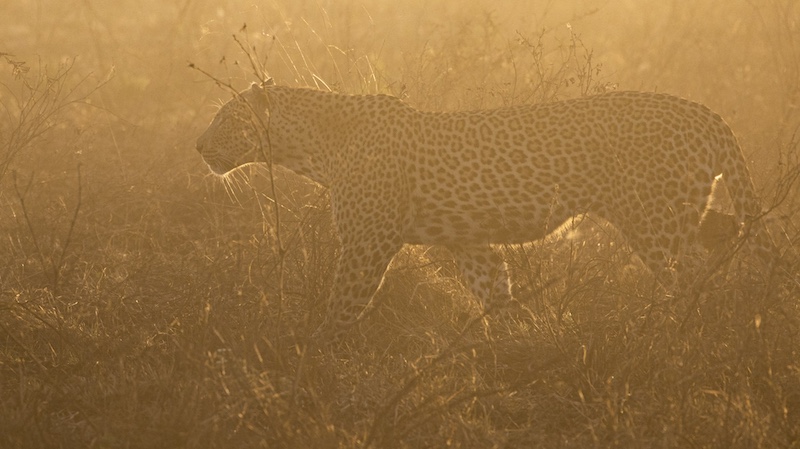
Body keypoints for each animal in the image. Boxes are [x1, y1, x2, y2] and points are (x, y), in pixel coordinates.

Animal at [196, 80, 775, 340]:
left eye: (226, 120)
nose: (199, 147)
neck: (312, 147)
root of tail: (708, 113)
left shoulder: (366, 245)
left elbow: (341, 306)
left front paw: (312, 356)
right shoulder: (469, 240)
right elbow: (495, 292)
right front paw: (518, 344)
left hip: (653, 219)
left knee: (693, 277)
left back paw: (684, 333)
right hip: (686, 209)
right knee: (726, 238)